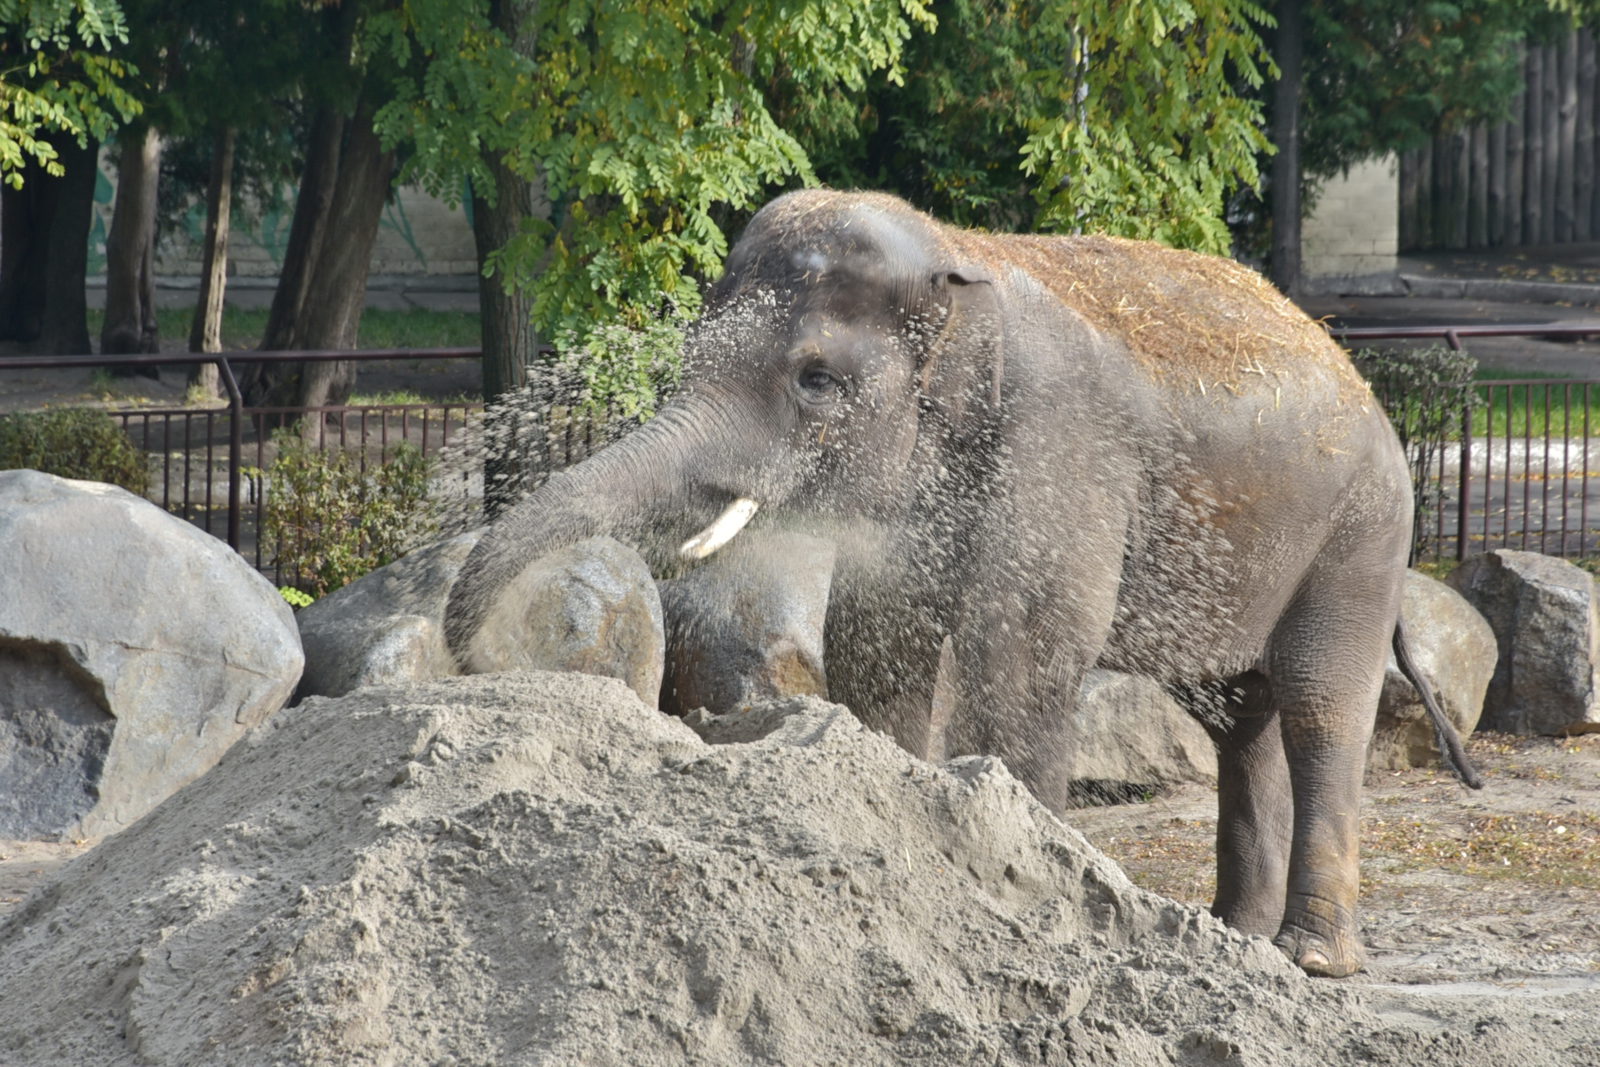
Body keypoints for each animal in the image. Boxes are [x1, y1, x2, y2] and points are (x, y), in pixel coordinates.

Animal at [444, 189, 1478, 979]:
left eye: (815, 379)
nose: (475, 654)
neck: (957, 260)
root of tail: (1350, 363)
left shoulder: (1058, 452)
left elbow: (1024, 655)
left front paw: (1036, 893)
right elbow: (877, 642)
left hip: (1359, 536)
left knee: (1317, 704)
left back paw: (1311, 959)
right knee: (1238, 712)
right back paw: (1237, 937)